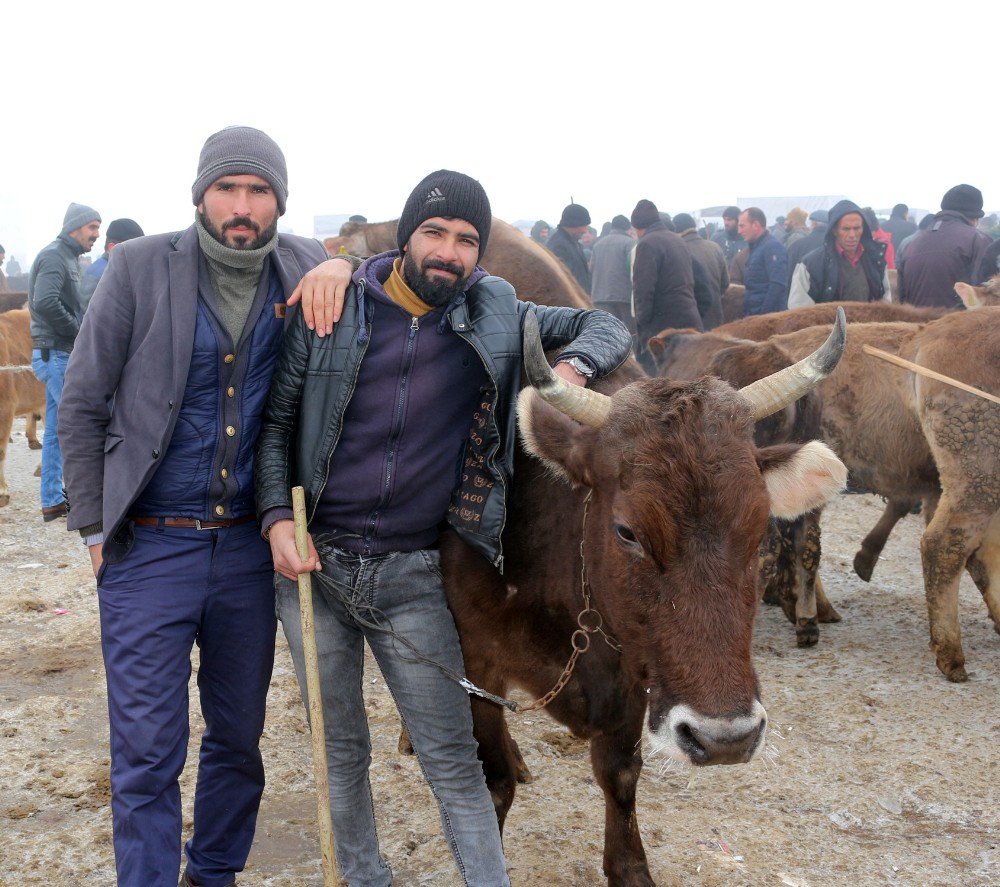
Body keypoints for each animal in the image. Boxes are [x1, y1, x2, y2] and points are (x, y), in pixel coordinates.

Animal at [446, 316, 844, 884]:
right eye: (627, 531)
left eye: (759, 528)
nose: (725, 739)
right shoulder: (475, 663)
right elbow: (492, 779)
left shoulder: (638, 672)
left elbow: (620, 774)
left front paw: (630, 868)